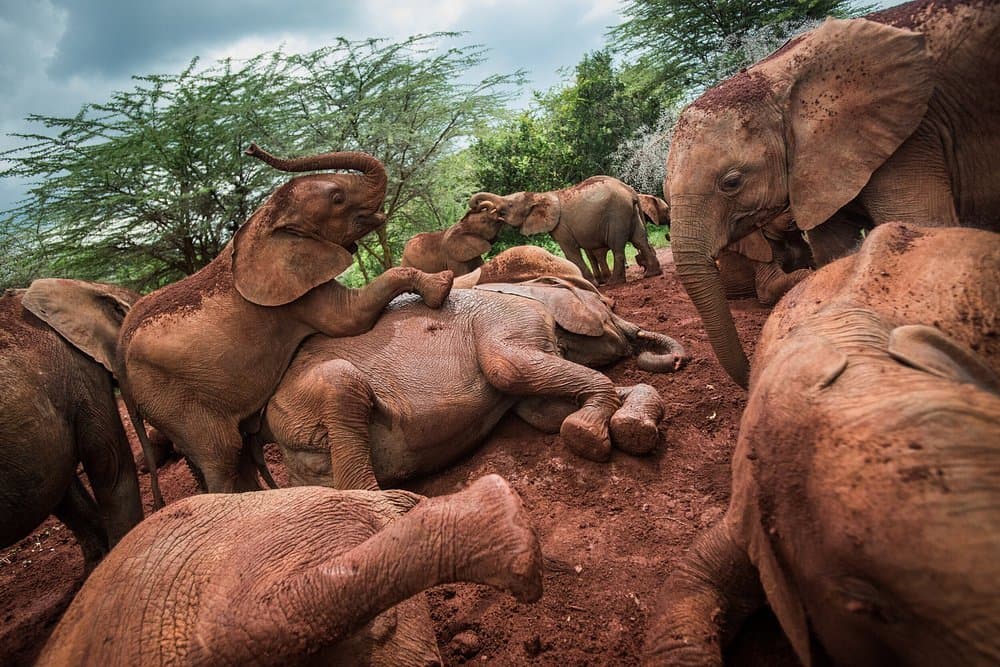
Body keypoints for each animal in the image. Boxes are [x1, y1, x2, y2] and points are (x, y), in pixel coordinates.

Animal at [117, 144, 453, 505]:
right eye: (337, 199)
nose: (250, 148)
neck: (267, 219)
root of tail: (119, 358)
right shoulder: (296, 295)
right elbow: (350, 318)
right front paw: (443, 285)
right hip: (170, 395)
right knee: (222, 453)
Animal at [257, 277, 688, 490]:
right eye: (607, 307)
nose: (676, 361)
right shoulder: (508, 320)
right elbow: (508, 368)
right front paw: (586, 436)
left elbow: (543, 412)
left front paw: (629, 428)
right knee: (342, 384)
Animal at [470, 176, 662, 285]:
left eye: (510, 205)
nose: (478, 207)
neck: (539, 195)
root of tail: (630, 192)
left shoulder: (561, 226)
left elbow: (571, 252)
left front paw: (592, 284)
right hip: (631, 213)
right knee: (640, 240)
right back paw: (652, 274)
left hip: (617, 214)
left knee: (617, 247)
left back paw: (615, 283)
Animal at [665, 0, 1000, 387]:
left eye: (731, 182)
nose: (751, 375)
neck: (772, 81)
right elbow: (832, 251)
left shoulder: (909, 136)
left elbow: (921, 226)